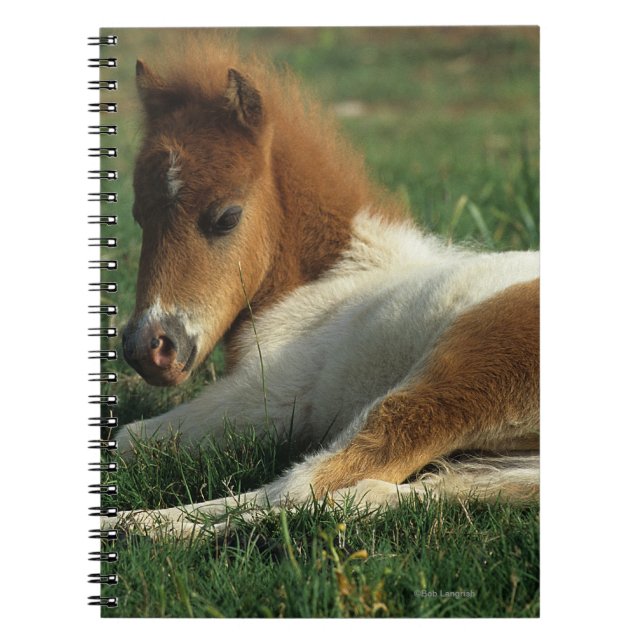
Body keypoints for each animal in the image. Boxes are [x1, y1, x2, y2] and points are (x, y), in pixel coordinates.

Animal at [109, 39, 539, 538]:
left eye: (227, 217)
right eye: (139, 216)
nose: (149, 348)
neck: (335, 275)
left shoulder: (265, 399)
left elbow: (129, 438)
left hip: (456, 382)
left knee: (306, 485)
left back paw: (137, 525)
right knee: (374, 492)